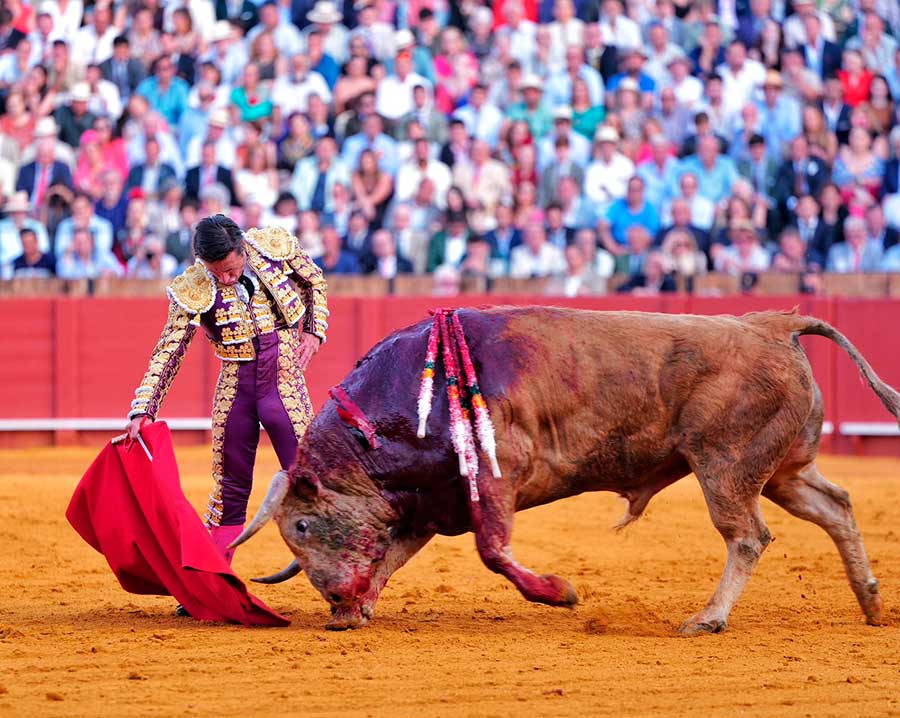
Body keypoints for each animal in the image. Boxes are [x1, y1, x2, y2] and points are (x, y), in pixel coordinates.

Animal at [230, 307, 900, 634]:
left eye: (303, 528)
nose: (335, 596)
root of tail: (774, 325)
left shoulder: (497, 475)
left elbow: (493, 552)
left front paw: (561, 593)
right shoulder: (432, 502)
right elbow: (394, 554)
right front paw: (358, 610)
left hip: (724, 465)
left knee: (748, 537)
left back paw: (707, 619)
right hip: (783, 469)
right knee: (835, 504)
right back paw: (869, 603)